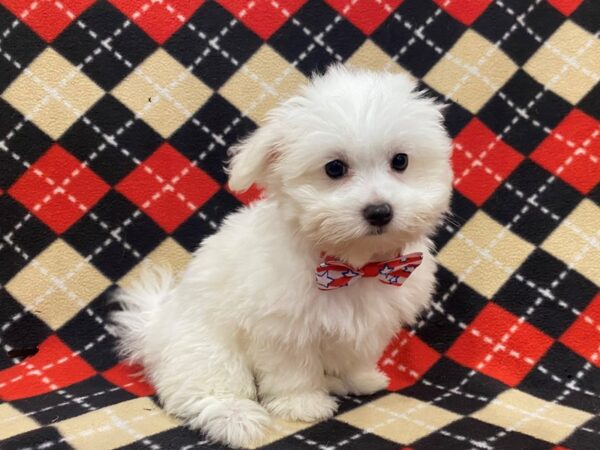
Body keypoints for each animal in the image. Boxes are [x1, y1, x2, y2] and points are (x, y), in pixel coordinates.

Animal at [112, 65, 452, 448]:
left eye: (401, 161)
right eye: (334, 168)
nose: (379, 211)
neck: (353, 264)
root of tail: (153, 328)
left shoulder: (373, 322)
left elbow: (356, 354)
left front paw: (361, 378)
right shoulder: (281, 330)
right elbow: (293, 372)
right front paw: (303, 404)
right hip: (205, 349)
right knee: (205, 387)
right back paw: (235, 418)